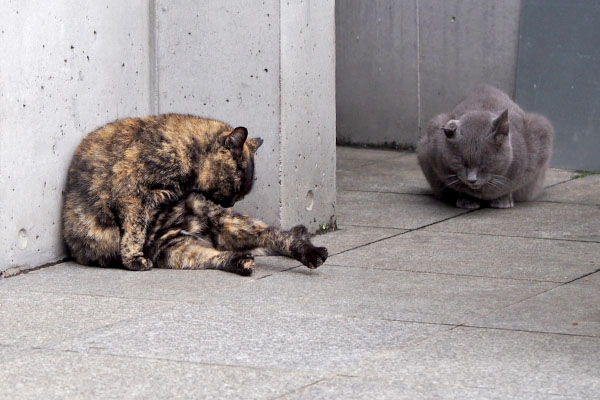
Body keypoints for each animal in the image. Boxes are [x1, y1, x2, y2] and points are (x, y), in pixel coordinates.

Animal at [63, 113, 328, 276]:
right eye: (236, 189)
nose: (229, 204)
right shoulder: (131, 194)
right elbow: (135, 230)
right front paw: (134, 259)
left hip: (222, 222)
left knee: (278, 236)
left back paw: (313, 253)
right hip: (177, 251)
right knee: (221, 255)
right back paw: (242, 262)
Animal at [418, 85, 552, 209]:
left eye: (484, 162)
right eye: (461, 162)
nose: (472, 179)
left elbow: (510, 186)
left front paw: (502, 200)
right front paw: (467, 200)